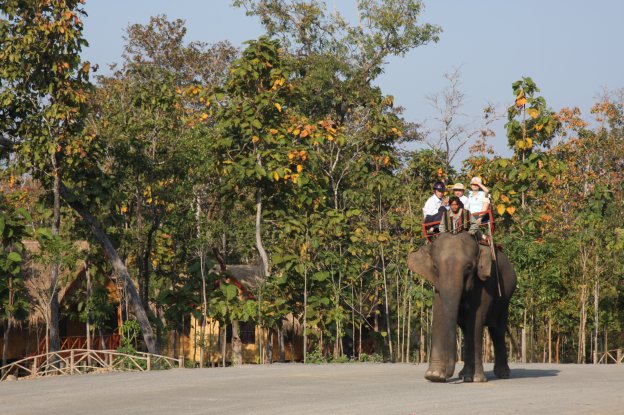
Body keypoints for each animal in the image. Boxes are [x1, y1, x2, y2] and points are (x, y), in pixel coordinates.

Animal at [404, 232, 516, 382]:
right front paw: (434, 375)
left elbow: (475, 320)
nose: (446, 375)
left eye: (469, 267)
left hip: (505, 297)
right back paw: (464, 375)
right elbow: (439, 315)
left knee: (497, 329)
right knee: (467, 330)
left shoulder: (484, 285)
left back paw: (501, 374)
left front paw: (477, 379)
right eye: (435, 267)